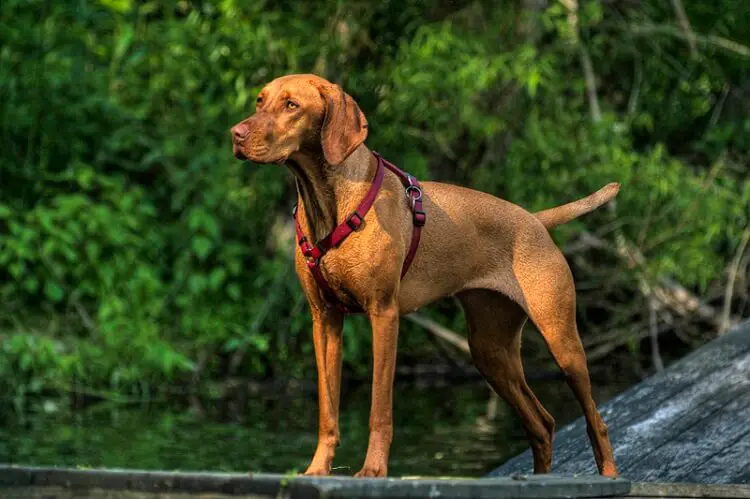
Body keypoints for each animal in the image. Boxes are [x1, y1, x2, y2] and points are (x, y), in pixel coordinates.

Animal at [232, 74, 620, 480]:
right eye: (259, 101)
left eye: (291, 105)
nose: (235, 134)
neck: (330, 201)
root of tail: (535, 219)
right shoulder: (324, 320)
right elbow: (328, 410)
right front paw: (317, 469)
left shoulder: (384, 314)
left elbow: (379, 408)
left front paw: (373, 470)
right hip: (490, 351)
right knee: (542, 424)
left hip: (562, 341)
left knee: (596, 420)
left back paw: (610, 475)